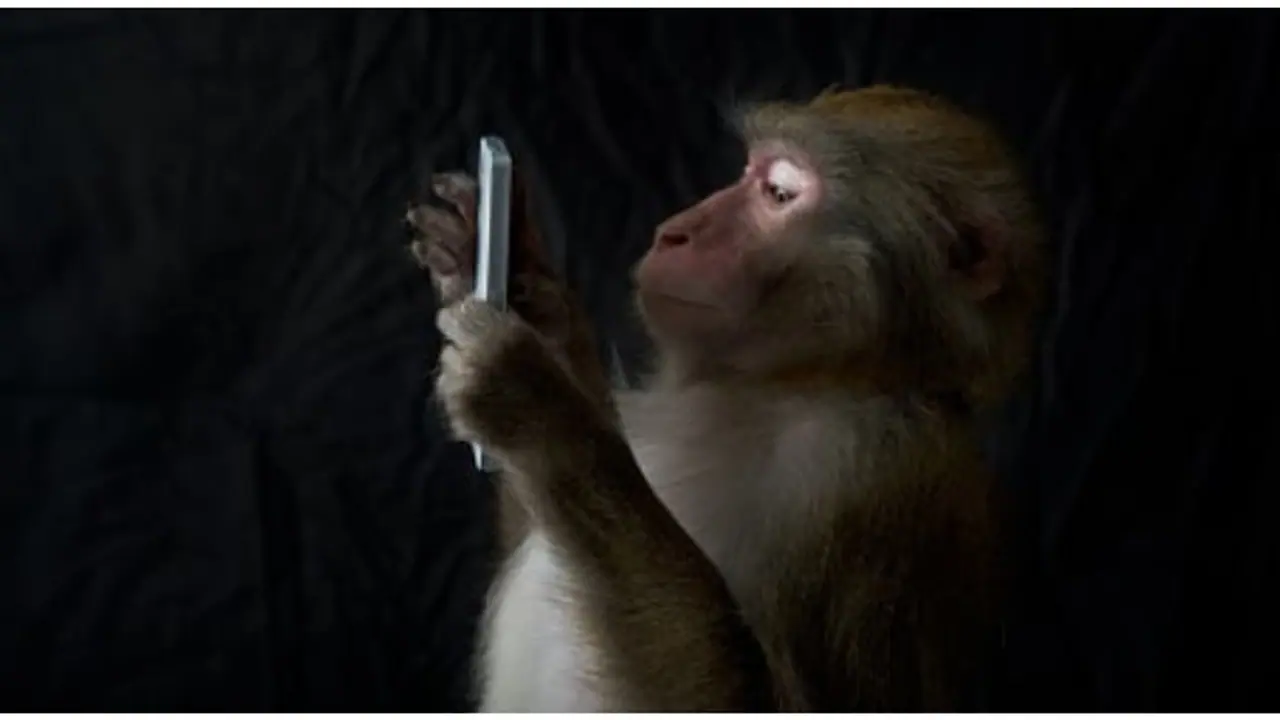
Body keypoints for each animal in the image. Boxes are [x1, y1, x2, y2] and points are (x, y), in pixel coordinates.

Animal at [405, 84, 1046, 712]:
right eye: (745, 175)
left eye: (779, 192)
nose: (676, 231)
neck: (784, 385)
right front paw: (517, 285)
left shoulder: (872, 472)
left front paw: (540, 409)